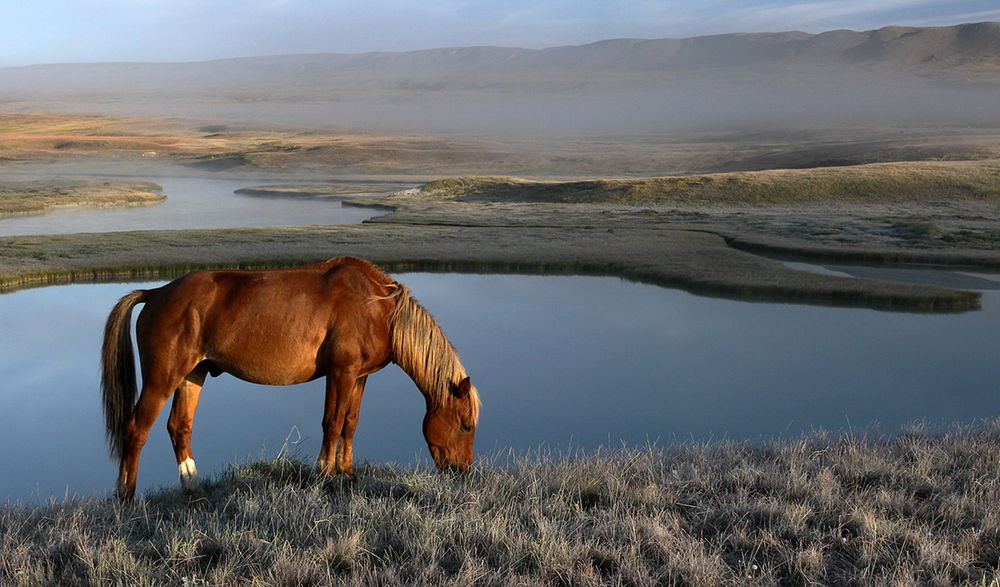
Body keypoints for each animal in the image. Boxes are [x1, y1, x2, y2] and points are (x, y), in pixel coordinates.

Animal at [101, 258, 480, 500]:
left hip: (192, 375)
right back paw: (126, 496)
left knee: (179, 427)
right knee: (136, 429)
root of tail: (156, 292)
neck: (378, 308)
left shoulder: (359, 377)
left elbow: (351, 423)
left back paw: (192, 486)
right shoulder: (341, 373)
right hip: (162, 379)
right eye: (465, 425)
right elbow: (332, 422)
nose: (463, 473)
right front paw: (326, 474)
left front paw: (348, 473)